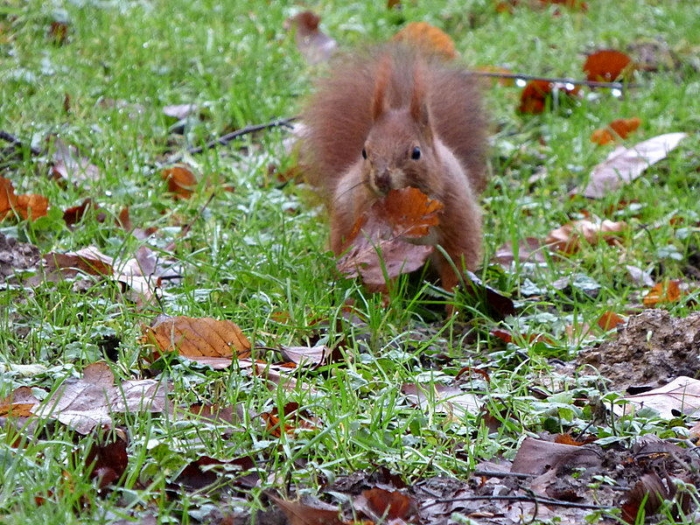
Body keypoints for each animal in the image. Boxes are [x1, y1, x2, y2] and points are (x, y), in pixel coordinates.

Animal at [300, 44, 488, 294]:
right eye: (364, 152)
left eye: (416, 152)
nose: (381, 179)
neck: (410, 206)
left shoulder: (457, 219)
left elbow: (457, 264)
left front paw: (455, 303)